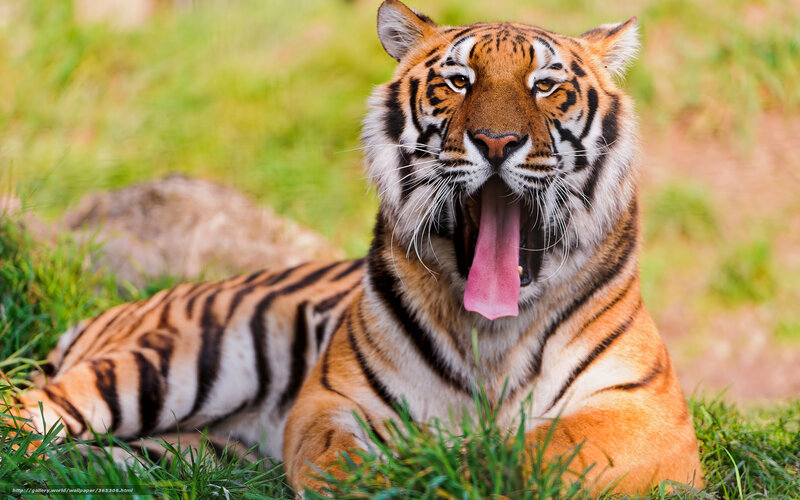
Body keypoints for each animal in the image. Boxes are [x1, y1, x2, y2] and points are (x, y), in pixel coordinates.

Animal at [3, 0, 704, 496]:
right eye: (458, 81)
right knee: (29, 412)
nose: (497, 141)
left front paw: (467, 465)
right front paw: (410, 473)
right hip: (172, 360)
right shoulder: (331, 401)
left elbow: (540, 451)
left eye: (545, 86)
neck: (492, 332)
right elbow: (343, 459)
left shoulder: (647, 415)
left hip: (174, 448)